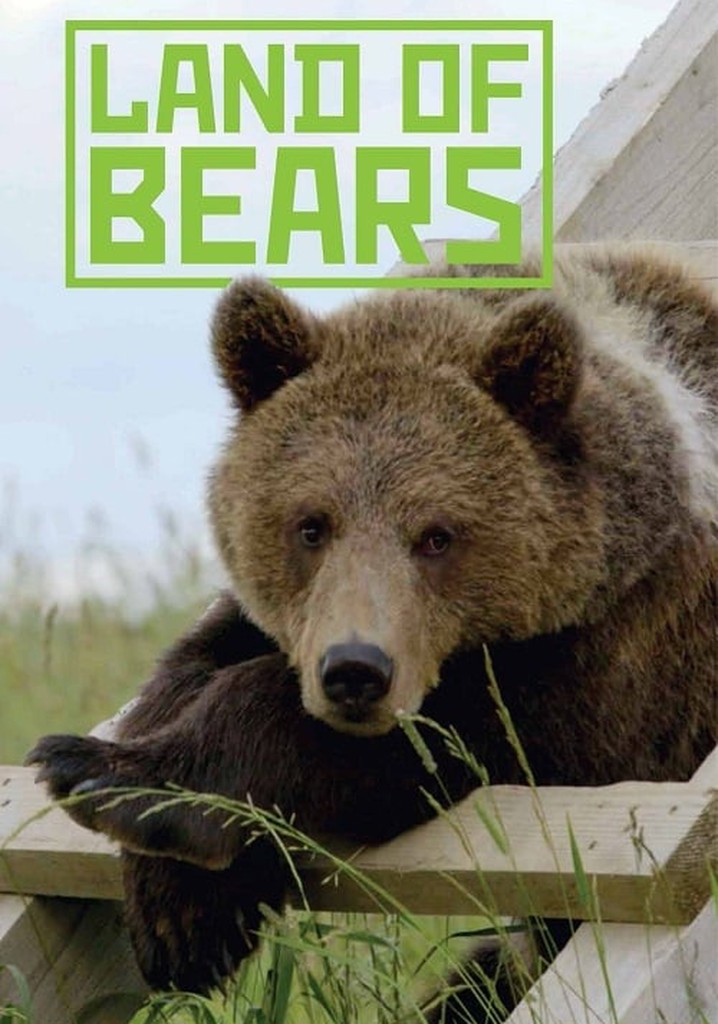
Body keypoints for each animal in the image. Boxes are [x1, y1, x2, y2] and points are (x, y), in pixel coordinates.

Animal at [28, 247, 717, 1022]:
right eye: (310, 525)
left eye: (438, 535)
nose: (355, 671)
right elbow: (201, 658)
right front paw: (183, 915)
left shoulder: (625, 671)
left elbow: (447, 741)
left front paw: (109, 776)